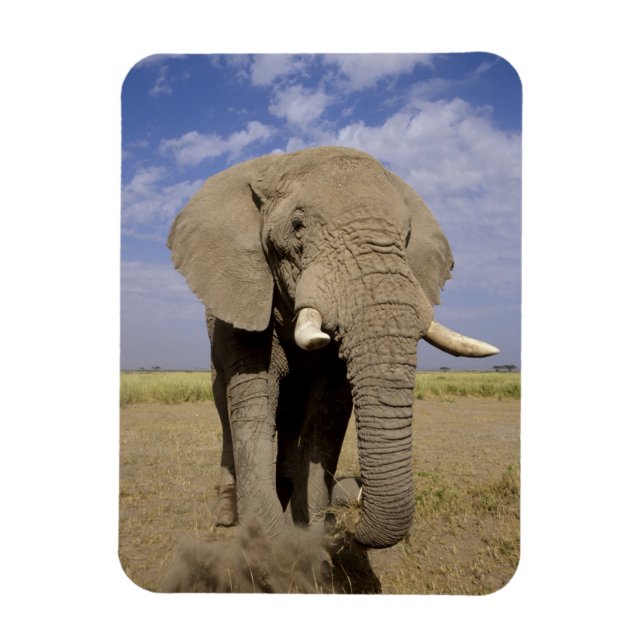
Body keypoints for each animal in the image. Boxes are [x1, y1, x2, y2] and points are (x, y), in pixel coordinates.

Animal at [167, 146, 498, 549]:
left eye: (406, 236)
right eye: (297, 226)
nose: (349, 513)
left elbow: (330, 409)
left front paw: (309, 530)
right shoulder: (243, 296)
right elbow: (254, 399)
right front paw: (270, 543)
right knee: (225, 408)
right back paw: (229, 514)